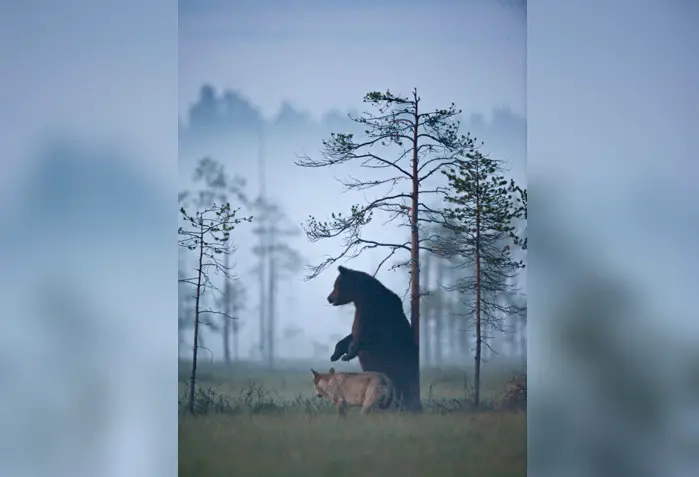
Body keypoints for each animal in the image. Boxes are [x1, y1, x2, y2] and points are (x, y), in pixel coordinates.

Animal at [326, 264, 422, 410]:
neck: (363, 298)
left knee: (401, 383)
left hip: (398, 364)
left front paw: (348, 354)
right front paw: (336, 354)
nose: (329, 298)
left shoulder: (376, 314)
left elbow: (365, 334)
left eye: (336, 285)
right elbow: (351, 335)